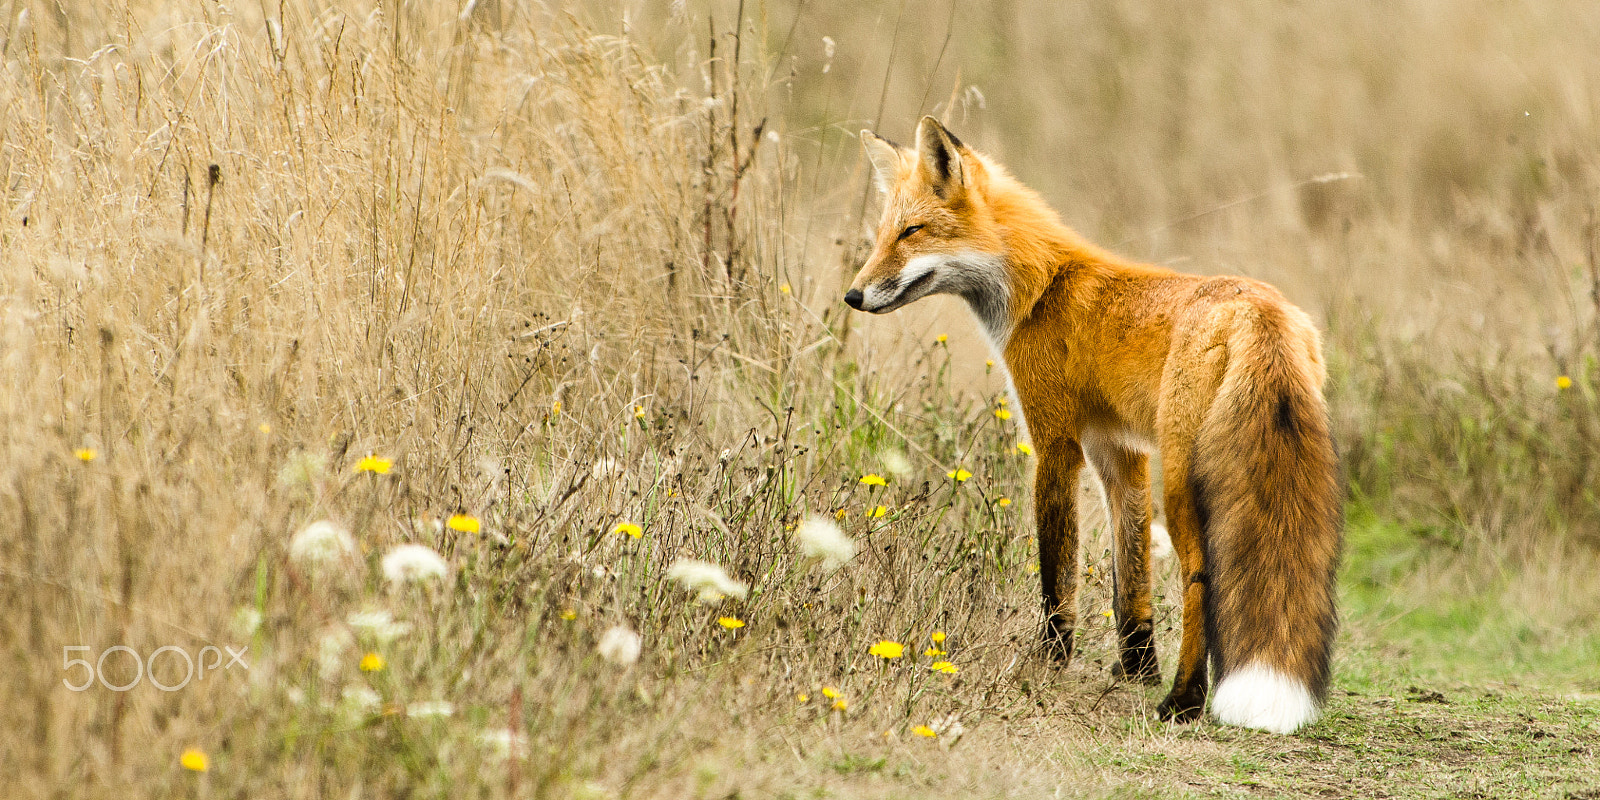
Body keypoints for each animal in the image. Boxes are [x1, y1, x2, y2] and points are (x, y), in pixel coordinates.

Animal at [844, 116, 1344, 732]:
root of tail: (1261, 310)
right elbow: (1130, 579)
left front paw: (1049, 659)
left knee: (1202, 577)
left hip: (1183, 477)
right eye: (882, 235)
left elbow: (1057, 575)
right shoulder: (1118, 450)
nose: (853, 295)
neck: (1042, 288)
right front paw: (1135, 667)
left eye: (911, 232)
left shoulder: (1055, 443)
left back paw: (1183, 701)